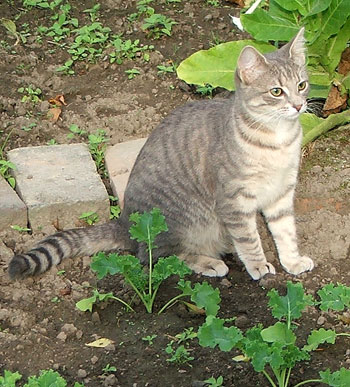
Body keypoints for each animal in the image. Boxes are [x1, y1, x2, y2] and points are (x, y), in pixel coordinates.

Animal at [8, 28, 314, 282]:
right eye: (276, 91)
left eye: (302, 85)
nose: (299, 105)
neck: (278, 141)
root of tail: (124, 224)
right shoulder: (234, 200)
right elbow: (249, 239)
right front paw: (259, 265)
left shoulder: (281, 193)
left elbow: (286, 232)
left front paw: (292, 261)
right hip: (182, 221)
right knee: (158, 256)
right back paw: (208, 262)